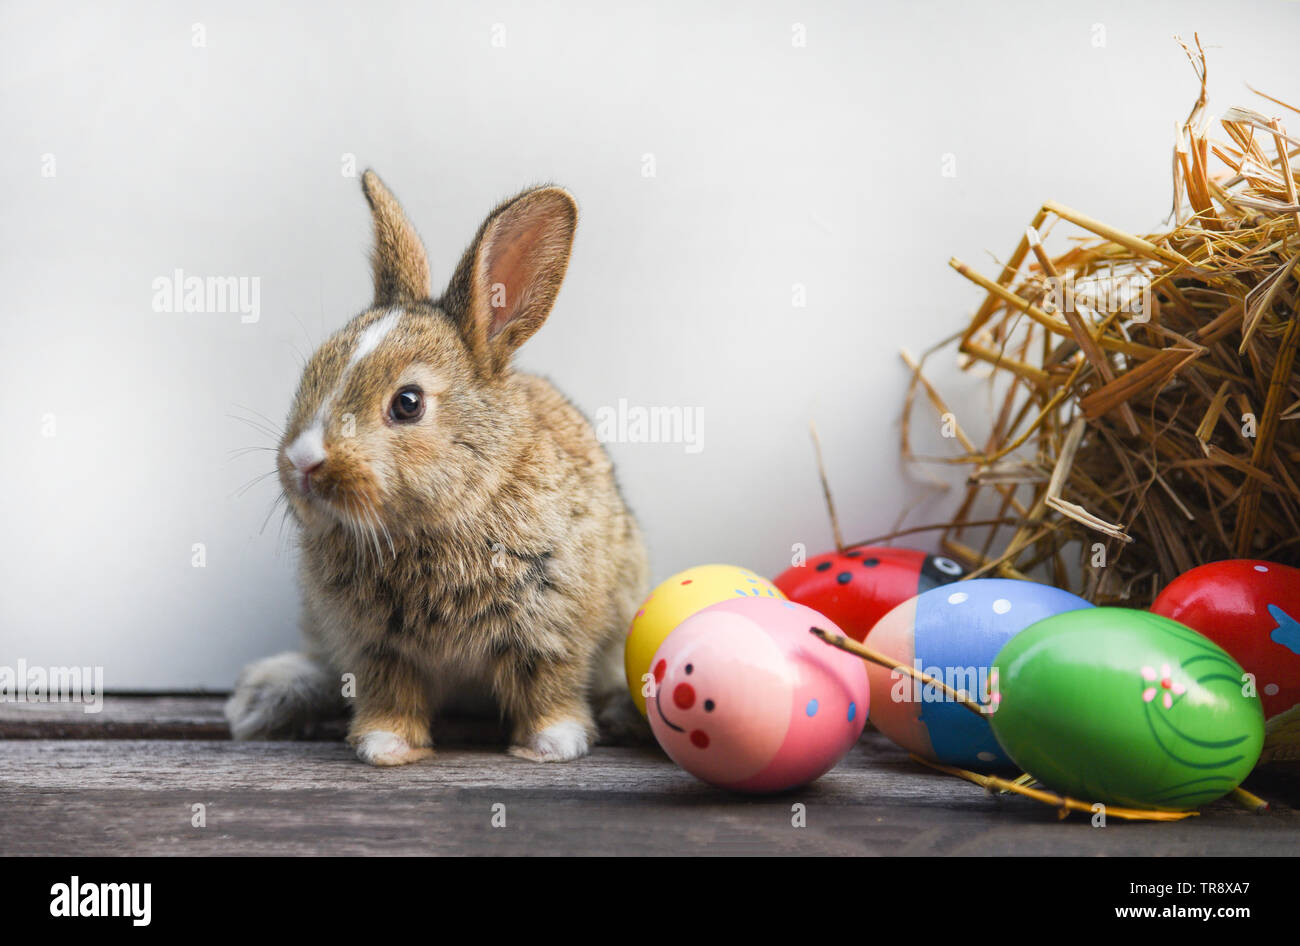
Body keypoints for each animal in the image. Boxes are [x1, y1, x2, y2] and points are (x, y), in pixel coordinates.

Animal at [224, 170, 650, 765]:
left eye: (408, 403)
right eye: (312, 371)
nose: (303, 462)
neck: (439, 520)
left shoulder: (550, 627)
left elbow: (547, 687)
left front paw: (552, 747)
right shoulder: (374, 647)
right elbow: (390, 694)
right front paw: (386, 747)